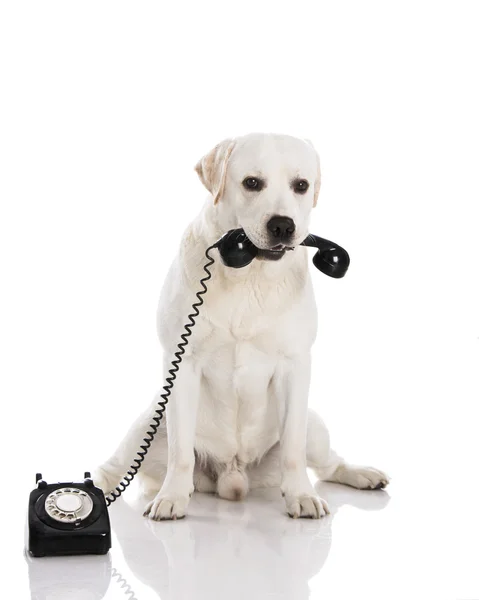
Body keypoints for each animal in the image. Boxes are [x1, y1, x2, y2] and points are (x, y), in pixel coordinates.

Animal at [94, 132, 390, 520]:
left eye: (301, 185)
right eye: (252, 183)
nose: (283, 226)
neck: (249, 274)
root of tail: (232, 476)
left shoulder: (295, 366)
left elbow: (293, 451)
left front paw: (301, 496)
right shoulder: (182, 364)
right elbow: (181, 453)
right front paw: (172, 497)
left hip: (313, 424)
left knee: (328, 464)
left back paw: (361, 474)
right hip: (150, 421)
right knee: (116, 467)